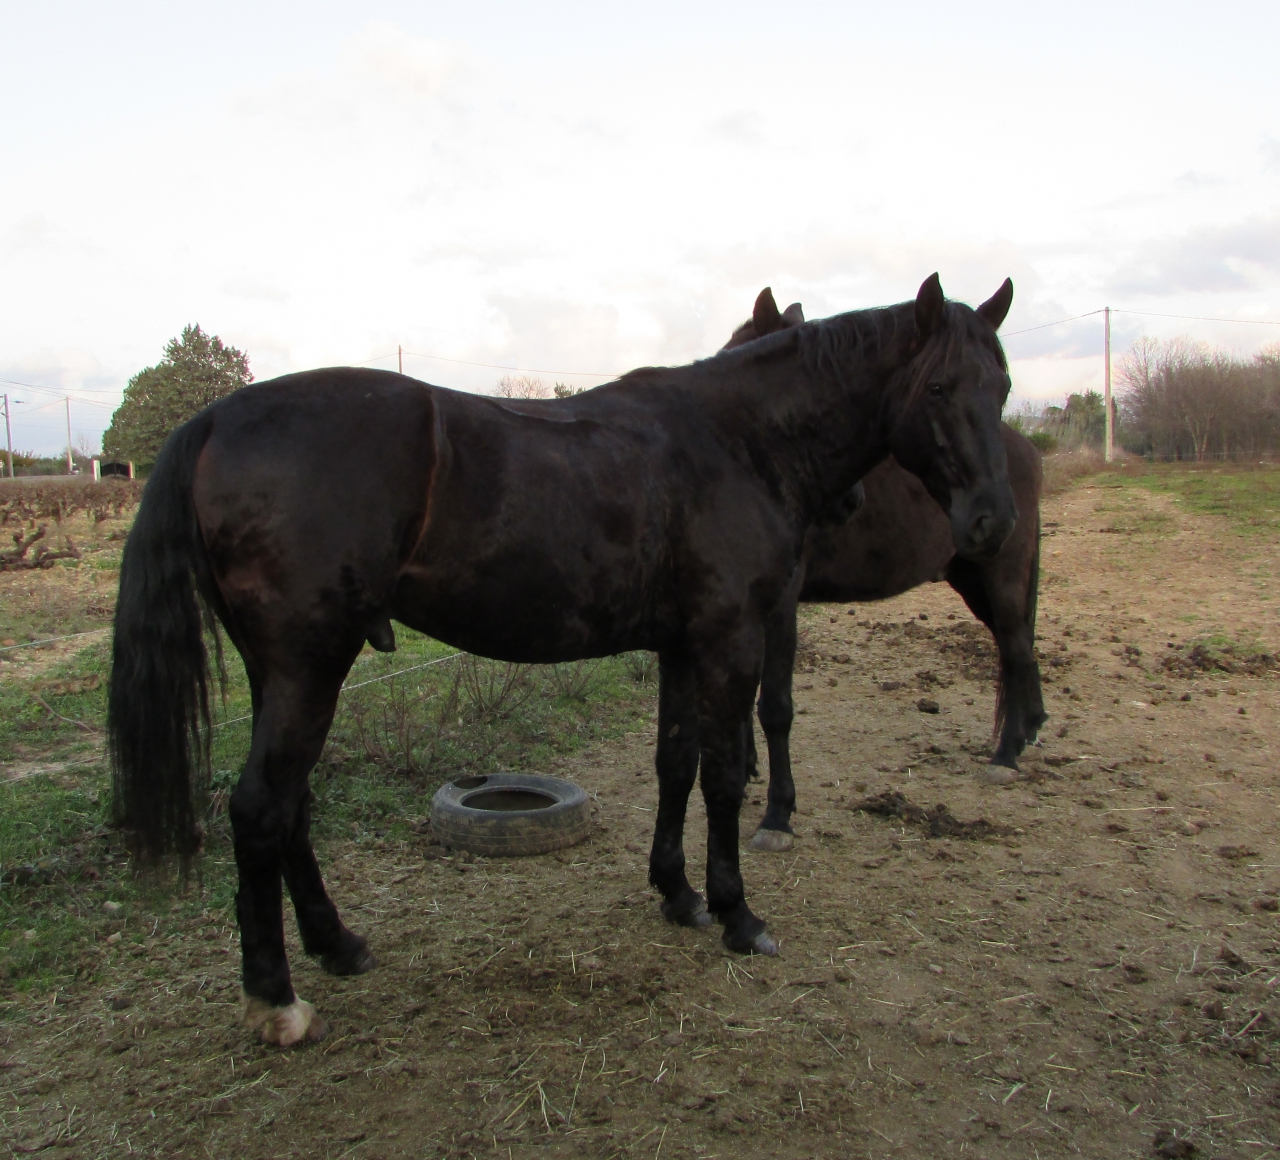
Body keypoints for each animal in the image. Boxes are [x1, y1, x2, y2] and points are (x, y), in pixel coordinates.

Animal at [722, 288, 1044, 853]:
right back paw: (1029, 729)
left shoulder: (781, 605)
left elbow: (775, 706)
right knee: (1020, 645)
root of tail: (1024, 451)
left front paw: (777, 816)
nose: (850, 500)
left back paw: (1006, 755)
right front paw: (744, 775)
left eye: (1003, 387)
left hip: (1000, 576)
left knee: (1015, 646)